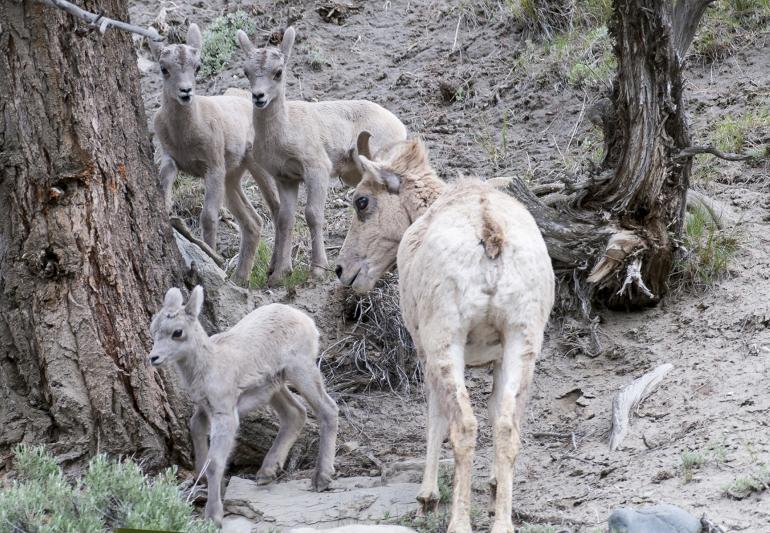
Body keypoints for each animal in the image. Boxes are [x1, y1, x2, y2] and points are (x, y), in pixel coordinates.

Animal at [148, 284, 338, 524]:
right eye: (153, 329)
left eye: (177, 332)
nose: (153, 358)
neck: (209, 365)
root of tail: (306, 320)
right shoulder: (204, 410)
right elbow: (197, 435)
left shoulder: (225, 414)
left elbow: (215, 463)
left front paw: (213, 516)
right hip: (273, 387)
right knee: (296, 413)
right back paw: (266, 474)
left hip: (301, 371)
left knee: (328, 410)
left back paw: (321, 479)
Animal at [149, 23, 280, 286]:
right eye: (164, 69)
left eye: (197, 67)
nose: (185, 92)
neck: (186, 134)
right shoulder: (170, 158)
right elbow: (164, 187)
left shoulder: (214, 169)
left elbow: (208, 217)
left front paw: (211, 255)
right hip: (232, 179)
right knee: (253, 222)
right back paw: (240, 278)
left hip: (256, 170)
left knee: (276, 209)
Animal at [236, 26, 408, 286]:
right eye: (246, 72)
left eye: (278, 72)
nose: (259, 97)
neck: (284, 131)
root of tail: (398, 124)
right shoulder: (285, 178)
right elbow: (285, 219)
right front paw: (279, 275)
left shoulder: (317, 170)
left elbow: (312, 214)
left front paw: (317, 270)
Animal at [336, 135, 552, 532]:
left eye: (362, 201)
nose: (342, 269)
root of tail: (489, 231)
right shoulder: (499, 357)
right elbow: (497, 410)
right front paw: (495, 484)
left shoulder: (425, 351)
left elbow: (434, 415)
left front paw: (427, 496)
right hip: (522, 341)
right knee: (506, 427)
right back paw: (502, 524)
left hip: (446, 342)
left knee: (463, 424)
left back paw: (458, 522)